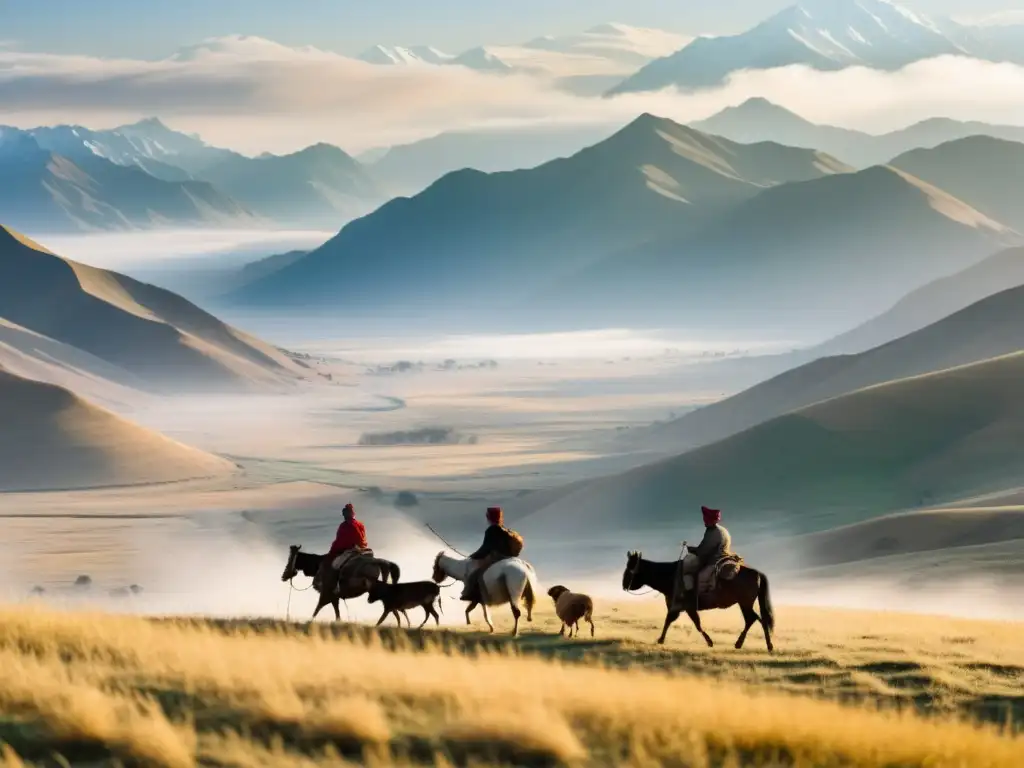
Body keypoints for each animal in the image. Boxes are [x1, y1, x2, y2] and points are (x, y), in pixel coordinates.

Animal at [618, 548, 770, 651]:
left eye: (630, 569)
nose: (624, 585)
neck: (671, 576)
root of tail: (756, 573)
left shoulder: (684, 606)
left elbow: (693, 623)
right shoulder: (681, 607)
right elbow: (675, 621)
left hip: (745, 604)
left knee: (754, 619)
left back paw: (753, 644)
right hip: (745, 604)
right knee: (756, 619)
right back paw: (756, 644)